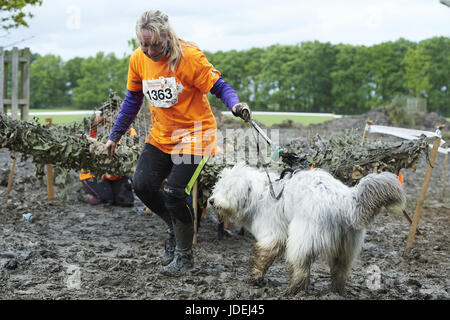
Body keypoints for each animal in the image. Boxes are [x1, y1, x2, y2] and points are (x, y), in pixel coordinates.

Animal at [209, 165, 406, 296]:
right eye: (217, 186)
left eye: (227, 189)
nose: (211, 201)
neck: (261, 192)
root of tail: (345, 201)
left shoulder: (273, 233)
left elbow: (264, 254)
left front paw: (256, 276)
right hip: (345, 246)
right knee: (340, 269)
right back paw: (336, 291)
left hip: (302, 237)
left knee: (301, 267)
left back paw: (293, 290)